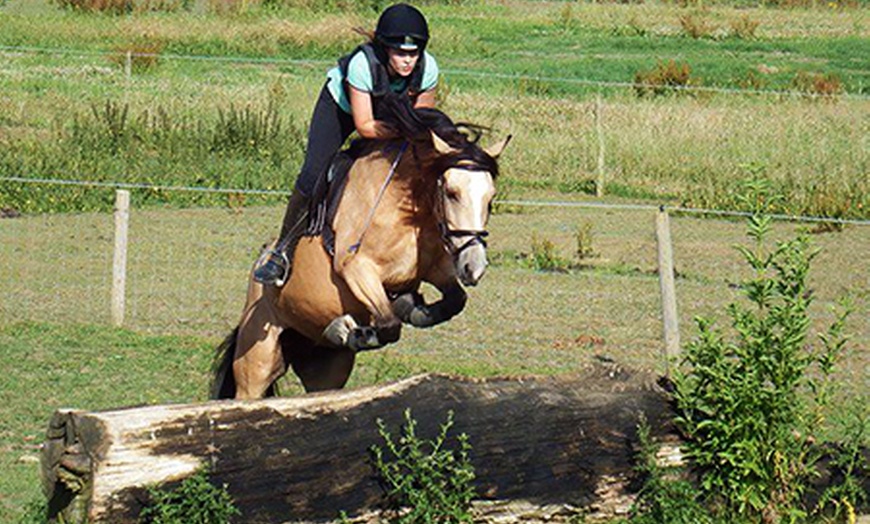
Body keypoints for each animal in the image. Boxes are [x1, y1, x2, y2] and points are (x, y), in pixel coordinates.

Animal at [213, 101, 510, 398]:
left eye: (491, 198)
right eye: (451, 192)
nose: (474, 267)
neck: (409, 210)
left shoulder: (435, 269)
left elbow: (455, 301)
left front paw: (409, 306)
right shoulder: (357, 269)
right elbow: (389, 325)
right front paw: (349, 329)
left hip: (325, 368)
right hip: (257, 359)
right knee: (248, 393)